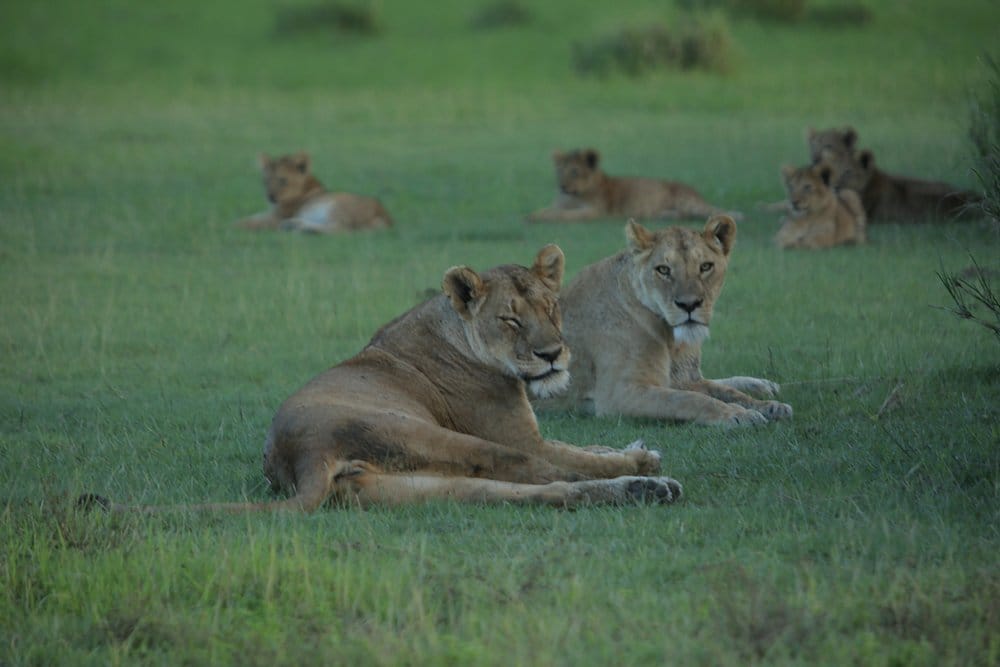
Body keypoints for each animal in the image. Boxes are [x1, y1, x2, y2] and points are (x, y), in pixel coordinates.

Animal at [85, 246, 681, 513]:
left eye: (551, 307)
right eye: (510, 319)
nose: (553, 355)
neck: (455, 328)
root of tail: (298, 456)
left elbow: (586, 446)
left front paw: (636, 449)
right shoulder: (516, 433)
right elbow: (570, 451)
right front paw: (638, 456)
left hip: (420, 482)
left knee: (539, 490)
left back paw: (645, 488)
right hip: (437, 435)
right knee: (538, 470)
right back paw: (649, 483)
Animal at [236, 151, 394, 233]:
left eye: (283, 180)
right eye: (266, 180)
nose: (270, 197)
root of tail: (386, 218)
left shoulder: (277, 217)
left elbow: (248, 222)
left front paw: (232, 226)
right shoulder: (273, 214)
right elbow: (249, 218)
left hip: (337, 206)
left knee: (340, 229)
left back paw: (300, 227)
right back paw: (294, 225)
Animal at [527, 148, 742, 223]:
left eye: (574, 172)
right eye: (560, 171)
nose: (562, 186)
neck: (571, 196)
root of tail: (695, 191)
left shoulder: (594, 211)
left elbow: (564, 215)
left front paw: (545, 218)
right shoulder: (558, 204)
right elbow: (546, 210)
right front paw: (533, 216)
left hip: (687, 202)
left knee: (712, 210)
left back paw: (736, 216)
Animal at [534, 217, 792, 427]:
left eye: (706, 267)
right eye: (664, 270)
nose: (689, 305)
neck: (670, 337)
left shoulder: (682, 377)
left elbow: (722, 390)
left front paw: (767, 406)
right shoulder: (618, 394)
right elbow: (689, 400)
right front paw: (737, 415)